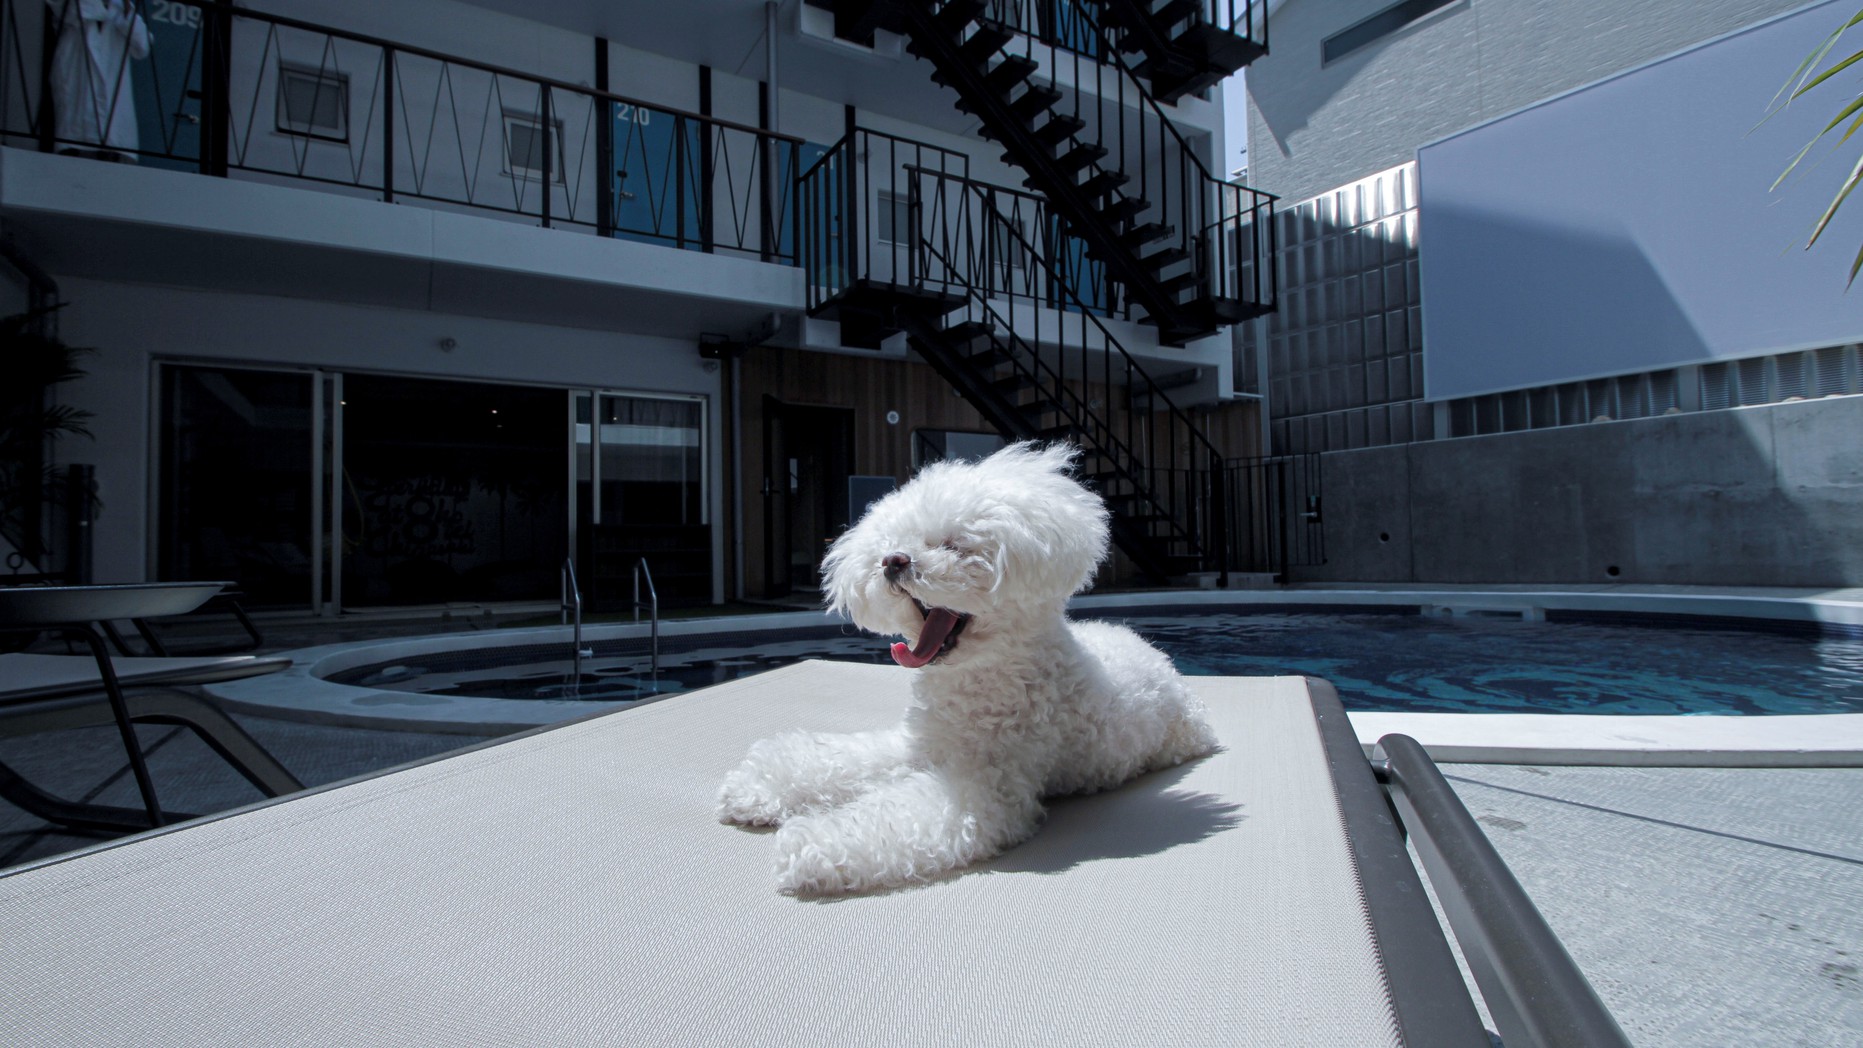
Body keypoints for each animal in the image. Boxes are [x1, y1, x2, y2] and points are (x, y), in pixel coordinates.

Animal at [715, 443, 1222, 893]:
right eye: (894, 542)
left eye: (956, 546)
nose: (892, 561)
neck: (977, 679)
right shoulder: (918, 746)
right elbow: (839, 759)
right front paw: (759, 786)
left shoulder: (989, 788)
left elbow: (891, 814)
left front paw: (811, 844)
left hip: (1182, 735)